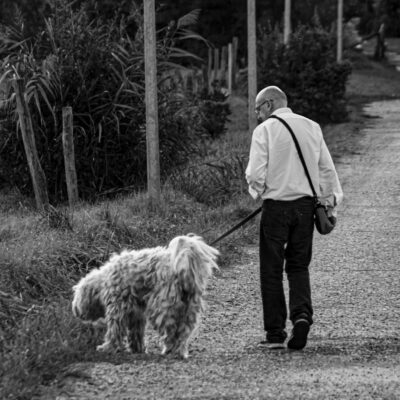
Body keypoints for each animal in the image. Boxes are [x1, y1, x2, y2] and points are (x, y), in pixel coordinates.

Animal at [70, 233, 217, 358]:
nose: (76, 312)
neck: (104, 280)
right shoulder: (136, 313)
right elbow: (136, 332)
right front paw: (137, 349)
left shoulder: (117, 308)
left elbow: (115, 330)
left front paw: (108, 347)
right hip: (189, 309)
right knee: (182, 332)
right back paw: (179, 351)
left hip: (163, 306)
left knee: (171, 332)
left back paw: (170, 350)